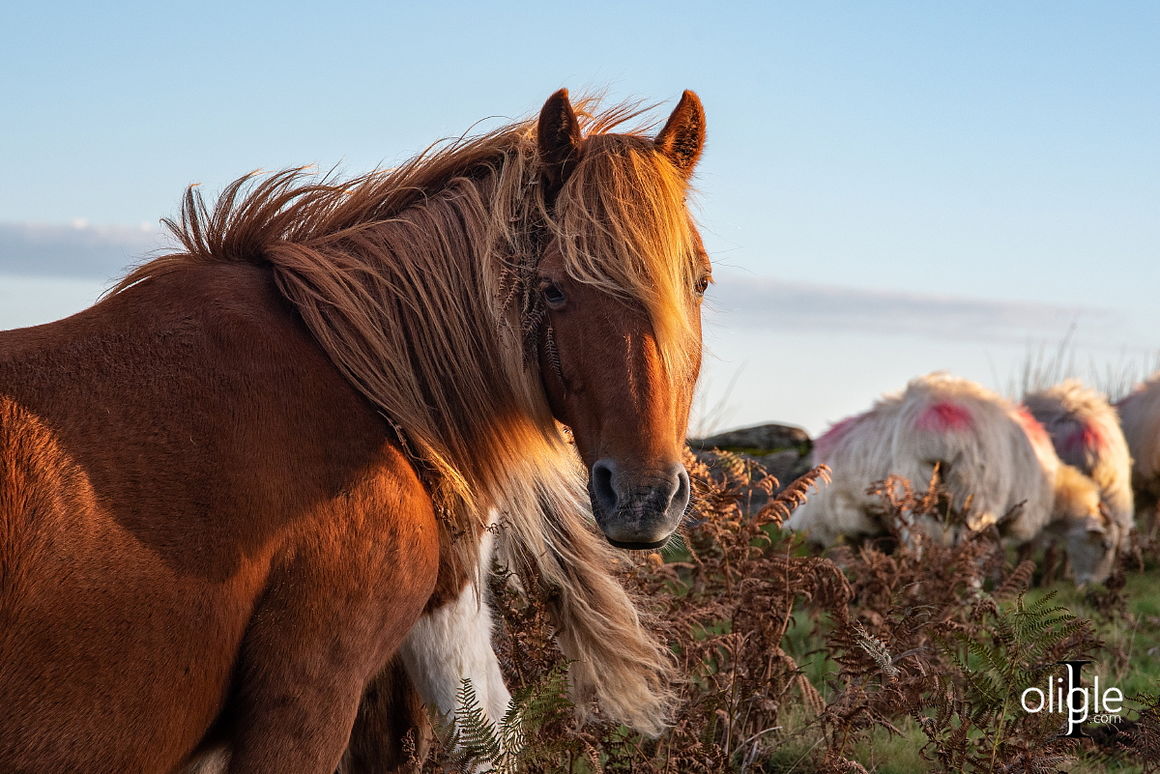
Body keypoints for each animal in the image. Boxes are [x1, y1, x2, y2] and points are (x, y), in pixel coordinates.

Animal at [788, 371, 1113, 584]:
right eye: (1105, 546)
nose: (1091, 586)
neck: (1055, 490)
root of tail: (937, 419)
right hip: (967, 501)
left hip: (902, 496)